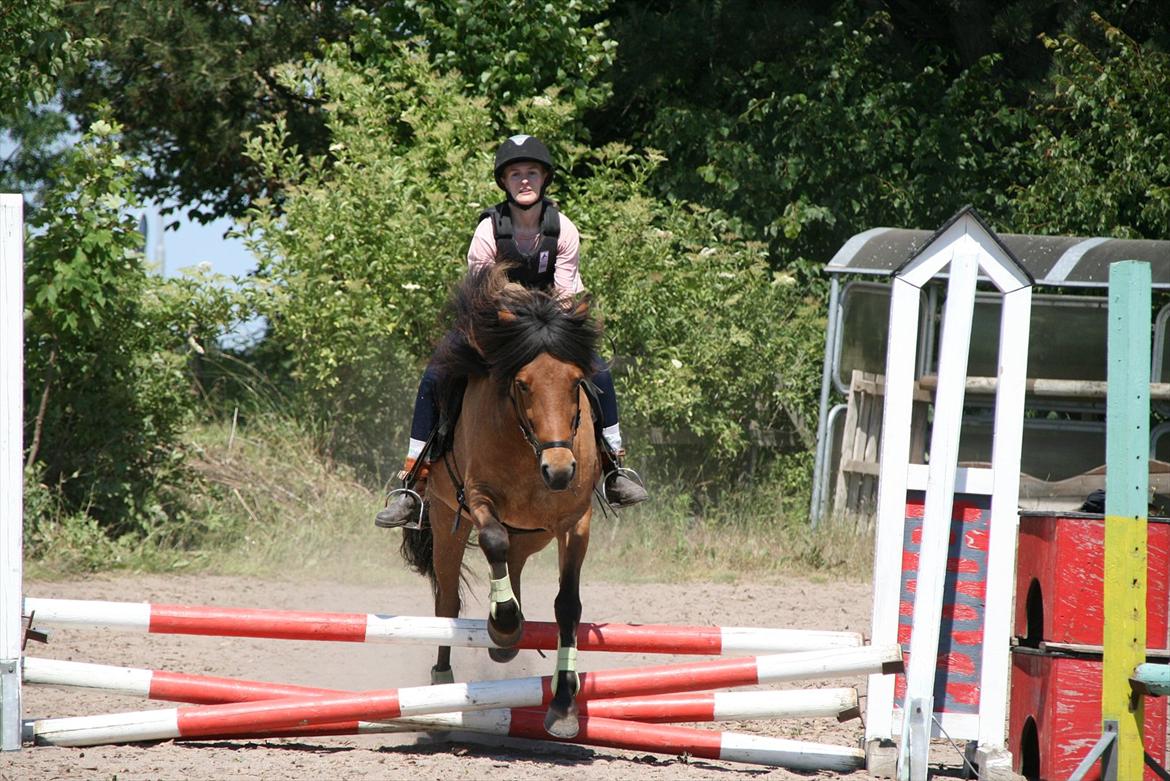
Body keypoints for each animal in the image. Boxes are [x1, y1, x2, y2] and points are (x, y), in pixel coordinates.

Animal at [402, 265, 603, 734]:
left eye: (576, 382)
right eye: (523, 385)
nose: (560, 470)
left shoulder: (575, 521)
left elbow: (568, 605)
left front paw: (563, 704)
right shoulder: (476, 498)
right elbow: (492, 540)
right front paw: (505, 625)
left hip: (532, 535)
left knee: (512, 566)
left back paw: (506, 641)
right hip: (446, 521)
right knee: (448, 602)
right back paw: (447, 678)